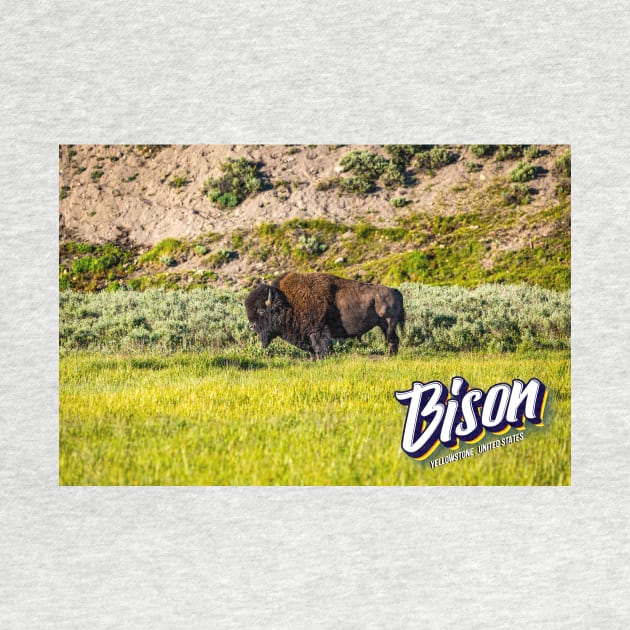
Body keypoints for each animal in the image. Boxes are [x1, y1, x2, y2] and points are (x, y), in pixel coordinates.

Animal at [244, 272, 408, 360]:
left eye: (261, 310)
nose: (251, 326)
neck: (286, 301)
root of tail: (395, 290)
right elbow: (313, 350)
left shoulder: (318, 331)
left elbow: (321, 347)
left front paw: (322, 359)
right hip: (384, 325)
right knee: (393, 340)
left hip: (389, 324)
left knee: (392, 340)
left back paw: (390, 356)